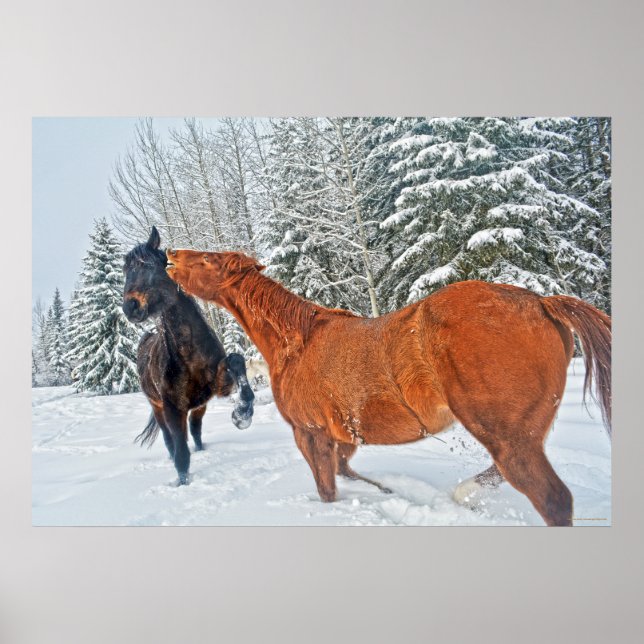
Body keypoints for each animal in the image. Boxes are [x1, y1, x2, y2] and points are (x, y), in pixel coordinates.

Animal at [121, 228, 255, 485]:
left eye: (149, 266)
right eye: (125, 271)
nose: (130, 307)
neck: (189, 355)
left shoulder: (218, 387)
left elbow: (236, 360)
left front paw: (242, 414)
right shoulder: (172, 408)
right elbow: (181, 452)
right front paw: (183, 483)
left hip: (198, 406)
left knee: (195, 429)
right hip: (158, 407)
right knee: (170, 439)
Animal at [165, 249, 611, 525]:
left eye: (207, 259)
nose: (170, 256)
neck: (297, 342)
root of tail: (541, 302)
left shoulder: (310, 434)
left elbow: (327, 489)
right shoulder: (345, 435)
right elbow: (346, 472)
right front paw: (386, 491)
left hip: (507, 435)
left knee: (553, 500)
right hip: (522, 434)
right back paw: (462, 495)